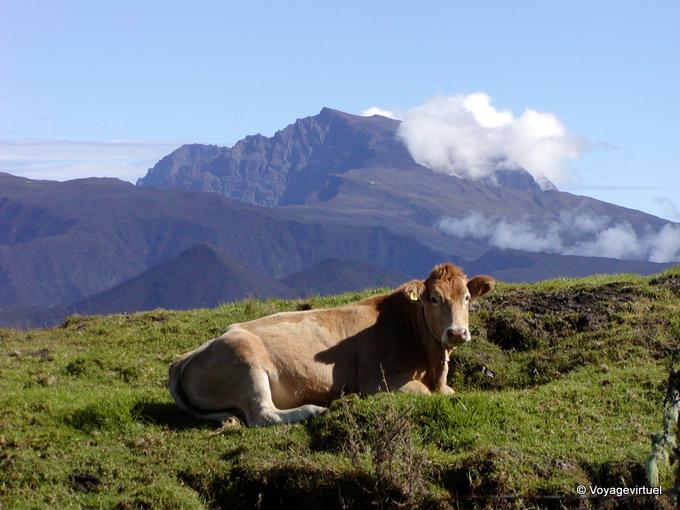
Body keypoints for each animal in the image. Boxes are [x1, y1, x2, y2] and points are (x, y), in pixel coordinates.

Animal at [168, 263, 495, 426]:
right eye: (434, 299)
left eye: (467, 297)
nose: (457, 332)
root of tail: (184, 357)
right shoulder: (378, 381)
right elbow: (425, 394)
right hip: (246, 362)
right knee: (262, 415)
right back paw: (316, 410)